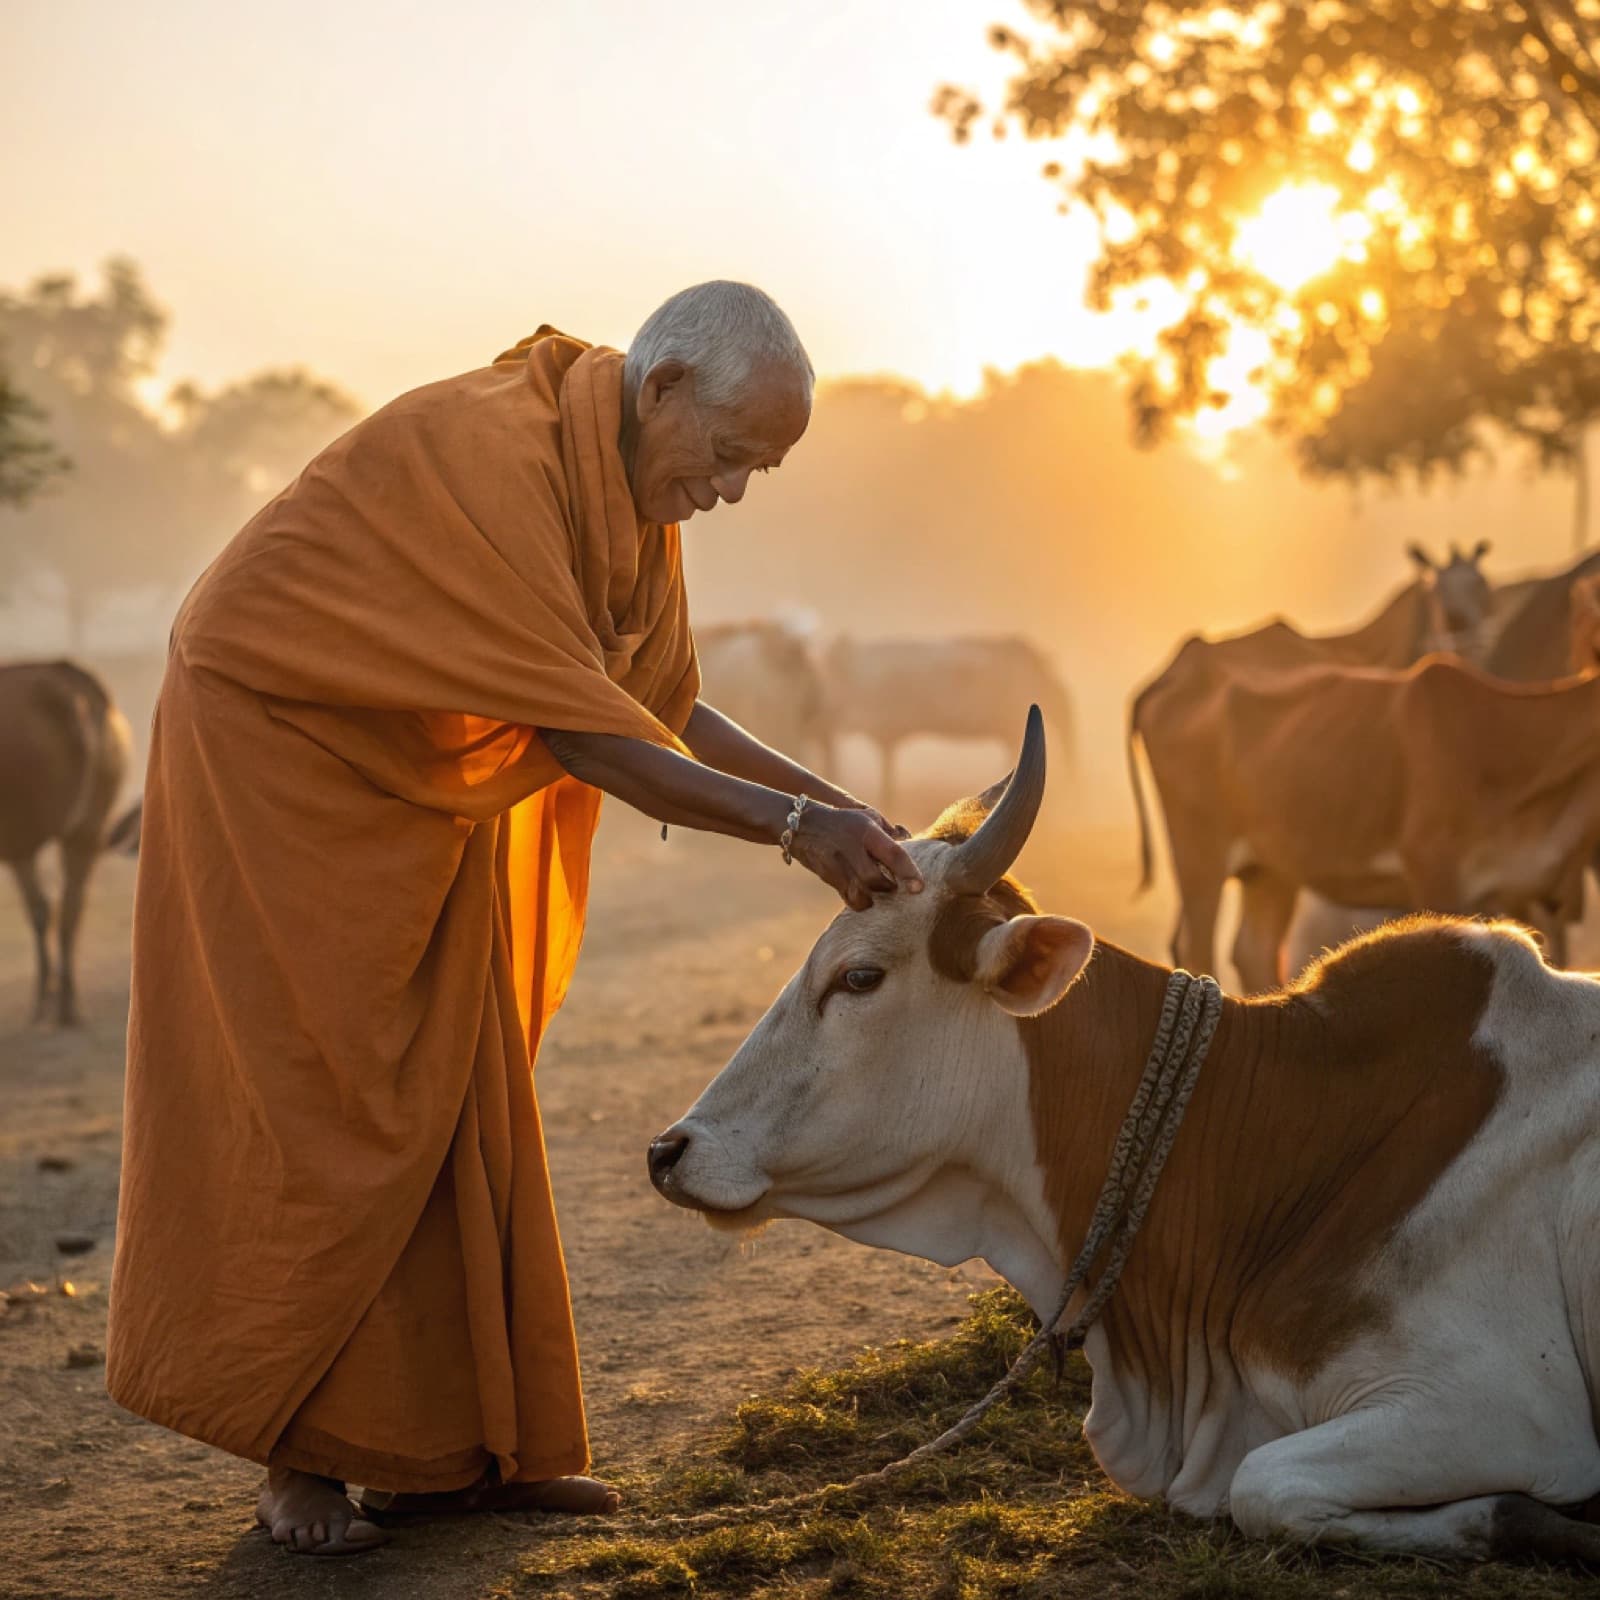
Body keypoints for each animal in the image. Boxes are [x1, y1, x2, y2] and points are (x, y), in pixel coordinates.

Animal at [1, 660, 133, 1025]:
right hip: (85, 830)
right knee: (71, 906)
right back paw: (67, 1004)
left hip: (20, 834)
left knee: (42, 907)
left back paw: (45, 1001)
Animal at [1135, 653, 1600, 989]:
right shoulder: (1434, 869)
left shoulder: (1536, 896)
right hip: (1198, 854)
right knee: (1198, 950)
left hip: (1268, 869)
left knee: (1254, 952)